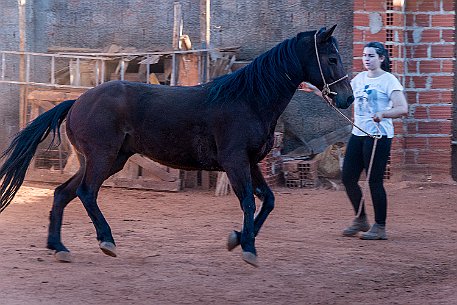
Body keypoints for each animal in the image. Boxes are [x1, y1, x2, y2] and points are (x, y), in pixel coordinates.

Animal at [0, 24, 352, 266]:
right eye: (332, 57)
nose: (347, 98)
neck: (249, 100)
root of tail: (76, 102)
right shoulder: (235, 161)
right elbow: (249, 203)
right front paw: (248, 249)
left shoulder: (250, 162)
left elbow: (268, 201)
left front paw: (236, 239)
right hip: (102, 158)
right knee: (87, 193)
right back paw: (106, 242)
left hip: (105, 160)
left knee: (63, 193)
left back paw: (59, 248)